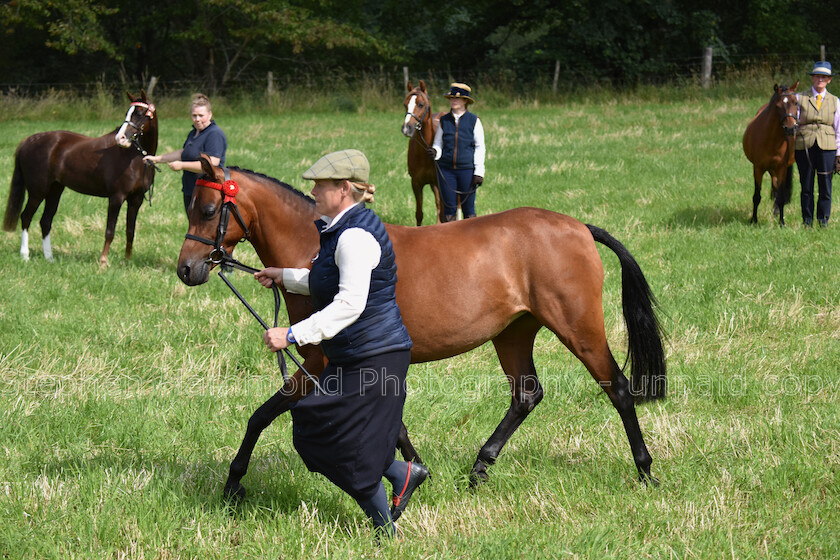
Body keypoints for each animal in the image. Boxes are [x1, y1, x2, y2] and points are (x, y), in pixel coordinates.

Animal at [2, 91, 158, 264]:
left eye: (140, 114)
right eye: (127, 113)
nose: (120, 138)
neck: (133, 157)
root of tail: (28, 141)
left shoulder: (136, 200)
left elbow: (130, 231)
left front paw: (127, 260)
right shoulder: (116, 197)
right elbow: (110, 231)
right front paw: (103, 262)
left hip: (55, 191)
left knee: (45, 221)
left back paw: (49, 257)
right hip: (38, 192)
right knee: (26, 217)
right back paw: (25, 255)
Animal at [177, 155, 668, 500]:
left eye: (208, 208)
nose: (187, 269)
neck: (317, 249)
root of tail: (579, 227)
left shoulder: (317, 362)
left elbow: (261, 415)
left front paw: (233, 484)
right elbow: (395, 427)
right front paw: (417, 472)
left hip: (578, 328)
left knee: (618, 389)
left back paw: (645, 471)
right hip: (513, 333)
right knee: (526, 395)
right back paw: (479, 469)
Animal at [740, 81, 800, 225]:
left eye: (796, 102)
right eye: (778, 106)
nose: (790, 128)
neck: (771, 138)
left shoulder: (782, 168)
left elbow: (781, 196)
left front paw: (781, 222)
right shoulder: (758, 168)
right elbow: (756, 196)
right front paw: (754, 220)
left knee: (777, 188)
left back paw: (776, 212)